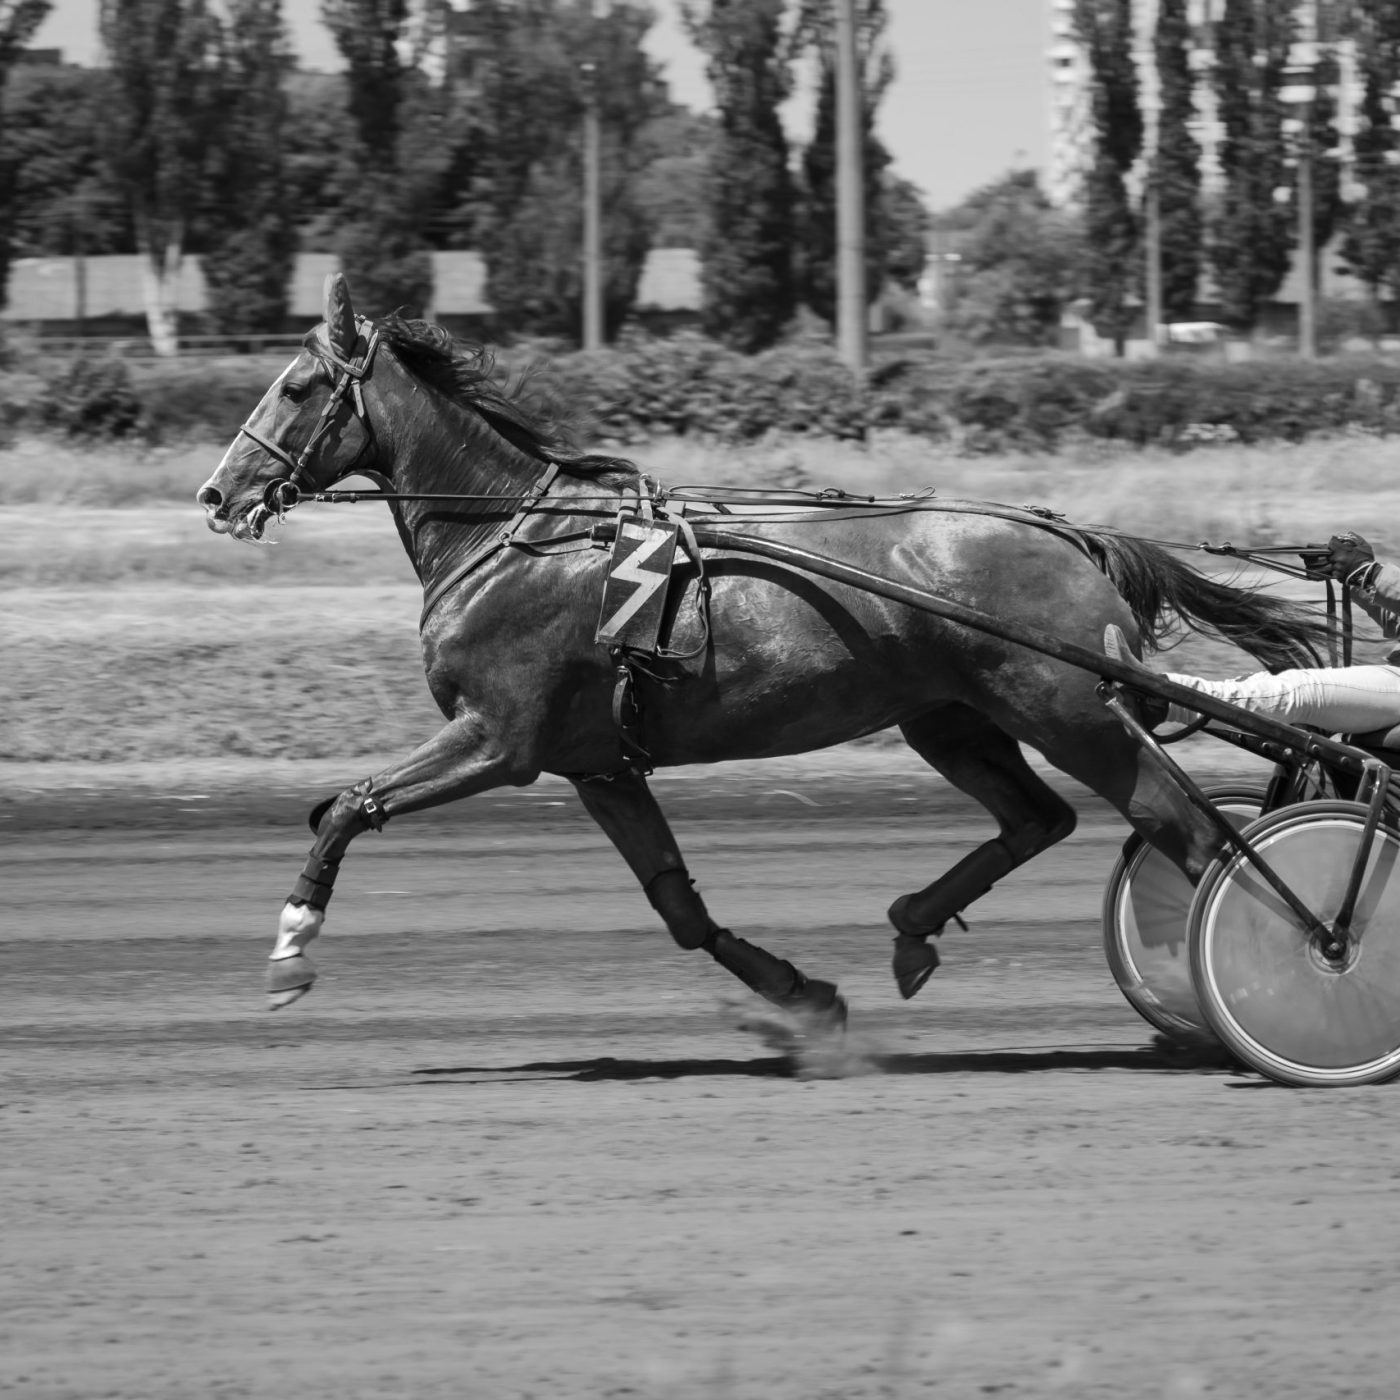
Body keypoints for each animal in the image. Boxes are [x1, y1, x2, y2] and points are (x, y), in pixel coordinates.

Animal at [194, 273, 1321, 1036]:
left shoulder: (498, 738)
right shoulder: (596, 762)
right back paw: (914, 924)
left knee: (1192, 836)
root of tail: (1070, 536)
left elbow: (348, 805)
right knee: (1038, 818)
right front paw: (800, 991)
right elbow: (678, 906)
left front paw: (290, 948)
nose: (216, 492)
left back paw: (1279, 967)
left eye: (297, 386)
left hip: (1074, 712)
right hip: (950, 715)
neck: (520, 535)